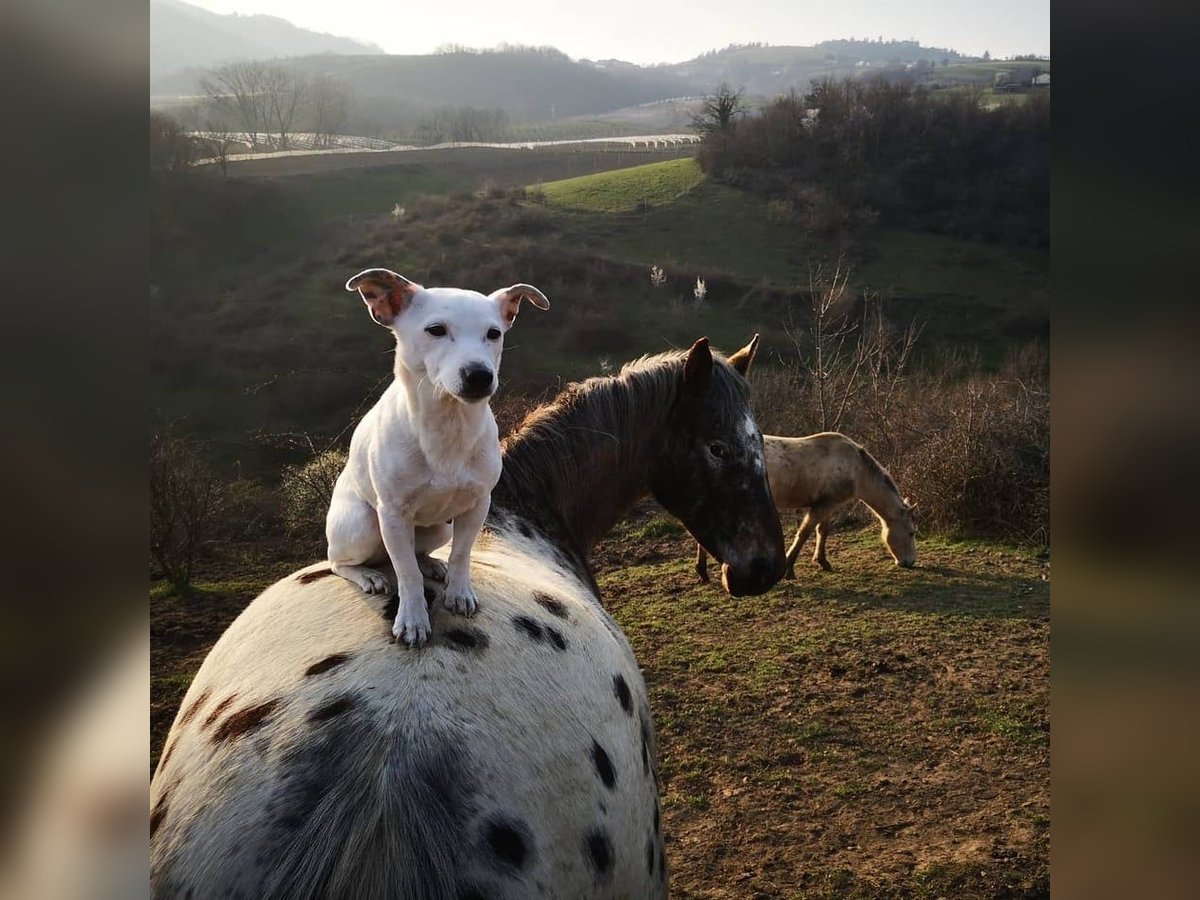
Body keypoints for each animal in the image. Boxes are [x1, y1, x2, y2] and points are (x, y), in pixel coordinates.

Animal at [331, 267, 549, 648]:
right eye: (436, 330)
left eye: (493, 333)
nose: (479, 375)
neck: (449, 425)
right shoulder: (393, 516)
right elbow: (406, 574)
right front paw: (413, 619)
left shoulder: (478, 504)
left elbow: (462, 554)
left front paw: (459, 592)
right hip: (363, 526)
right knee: (339, 563)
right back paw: (369, 576)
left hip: (438, 528)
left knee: (420, 553)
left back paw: (432, 563)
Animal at [696, 432, 916, 585]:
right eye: (912, 533)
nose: (910, 562)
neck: (855, 469)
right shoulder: (823, 505)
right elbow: (804, 533)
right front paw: (790, 569)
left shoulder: (829, 505)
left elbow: (822, 531)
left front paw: (822, 561)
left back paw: (703, 573)